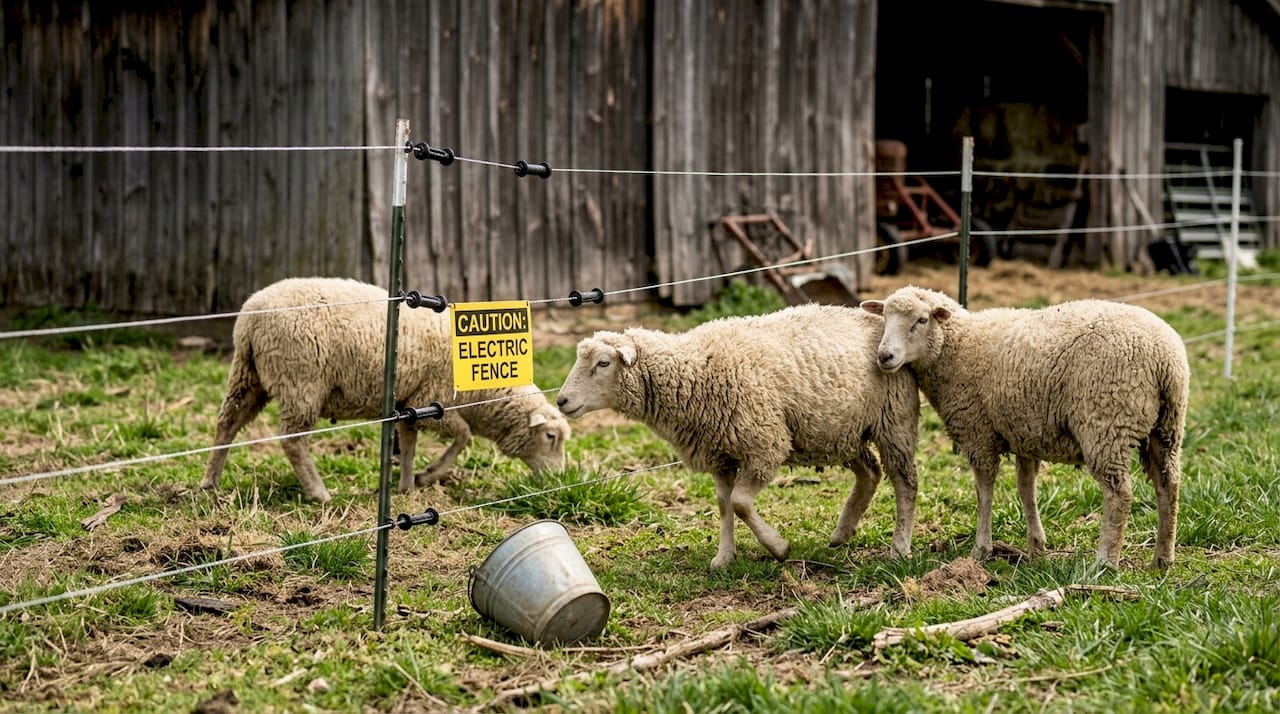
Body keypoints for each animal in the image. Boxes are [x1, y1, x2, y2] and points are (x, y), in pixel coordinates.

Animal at [201, 277, 570, 502]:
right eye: (551, 437)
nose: (558, 480)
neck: (482, 395)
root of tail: (251, 316)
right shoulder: (433, 402)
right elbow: (463, 437)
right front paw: (428, 476)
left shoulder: (411, 405)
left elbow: (407, 446)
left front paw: (406, 487)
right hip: (301, 383)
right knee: (292, 441)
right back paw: (319, 492)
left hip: (248, 376)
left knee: (227, 425)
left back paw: (210, 483)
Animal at [554, 304, 921, 570]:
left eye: (603, 363)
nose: (561, 401)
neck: (696, 370)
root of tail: (876, 318)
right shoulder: (720, 455)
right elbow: (724, 504)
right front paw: (724, 557)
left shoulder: (765, 445)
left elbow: (741, 503)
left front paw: (779, 547)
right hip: (840, 430)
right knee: (870, 472)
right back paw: (842, 533)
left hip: (894, 422)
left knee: (904, 483)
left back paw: (899, 546)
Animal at [861, 286, 1189, 569]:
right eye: (885, 318)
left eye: (921, 319)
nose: (885, 356)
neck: (958, 346)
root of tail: (1164, 358)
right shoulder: (1026, 433)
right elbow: (1026, 489)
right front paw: (1036, 548)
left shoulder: (977, 432)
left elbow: (984, 491)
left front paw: (981, 549)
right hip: (1167, 427)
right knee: (1168, 484)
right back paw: (1163, 559)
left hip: (1107, 423)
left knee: (1119, 494)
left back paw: (1105, 562)